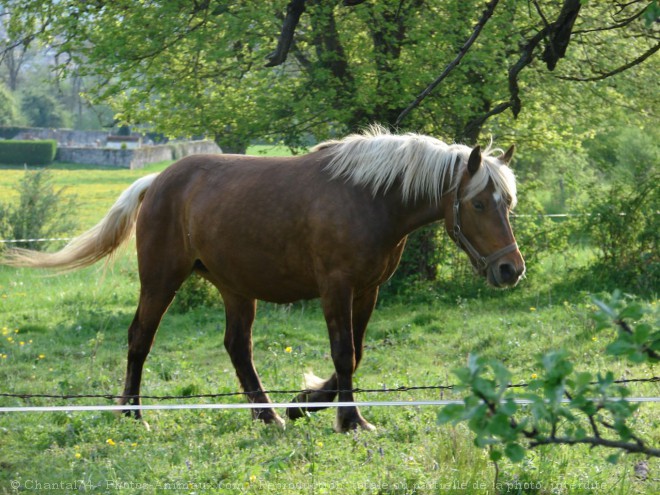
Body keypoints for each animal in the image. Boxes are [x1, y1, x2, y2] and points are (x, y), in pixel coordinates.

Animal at [2, 126, 524, 432]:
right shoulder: (335, 287)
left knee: (238, 347)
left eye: (508, 203)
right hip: (161, 280)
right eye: (479, 203)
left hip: (235, 288)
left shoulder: (367, 290)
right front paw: (350, 420)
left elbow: (355, 354)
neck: (367, 198)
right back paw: (133, 415)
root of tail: (158, 181)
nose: (510, 269)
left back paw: (269, 413)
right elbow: (344, 353)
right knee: (140, 338)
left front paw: (304, 402)